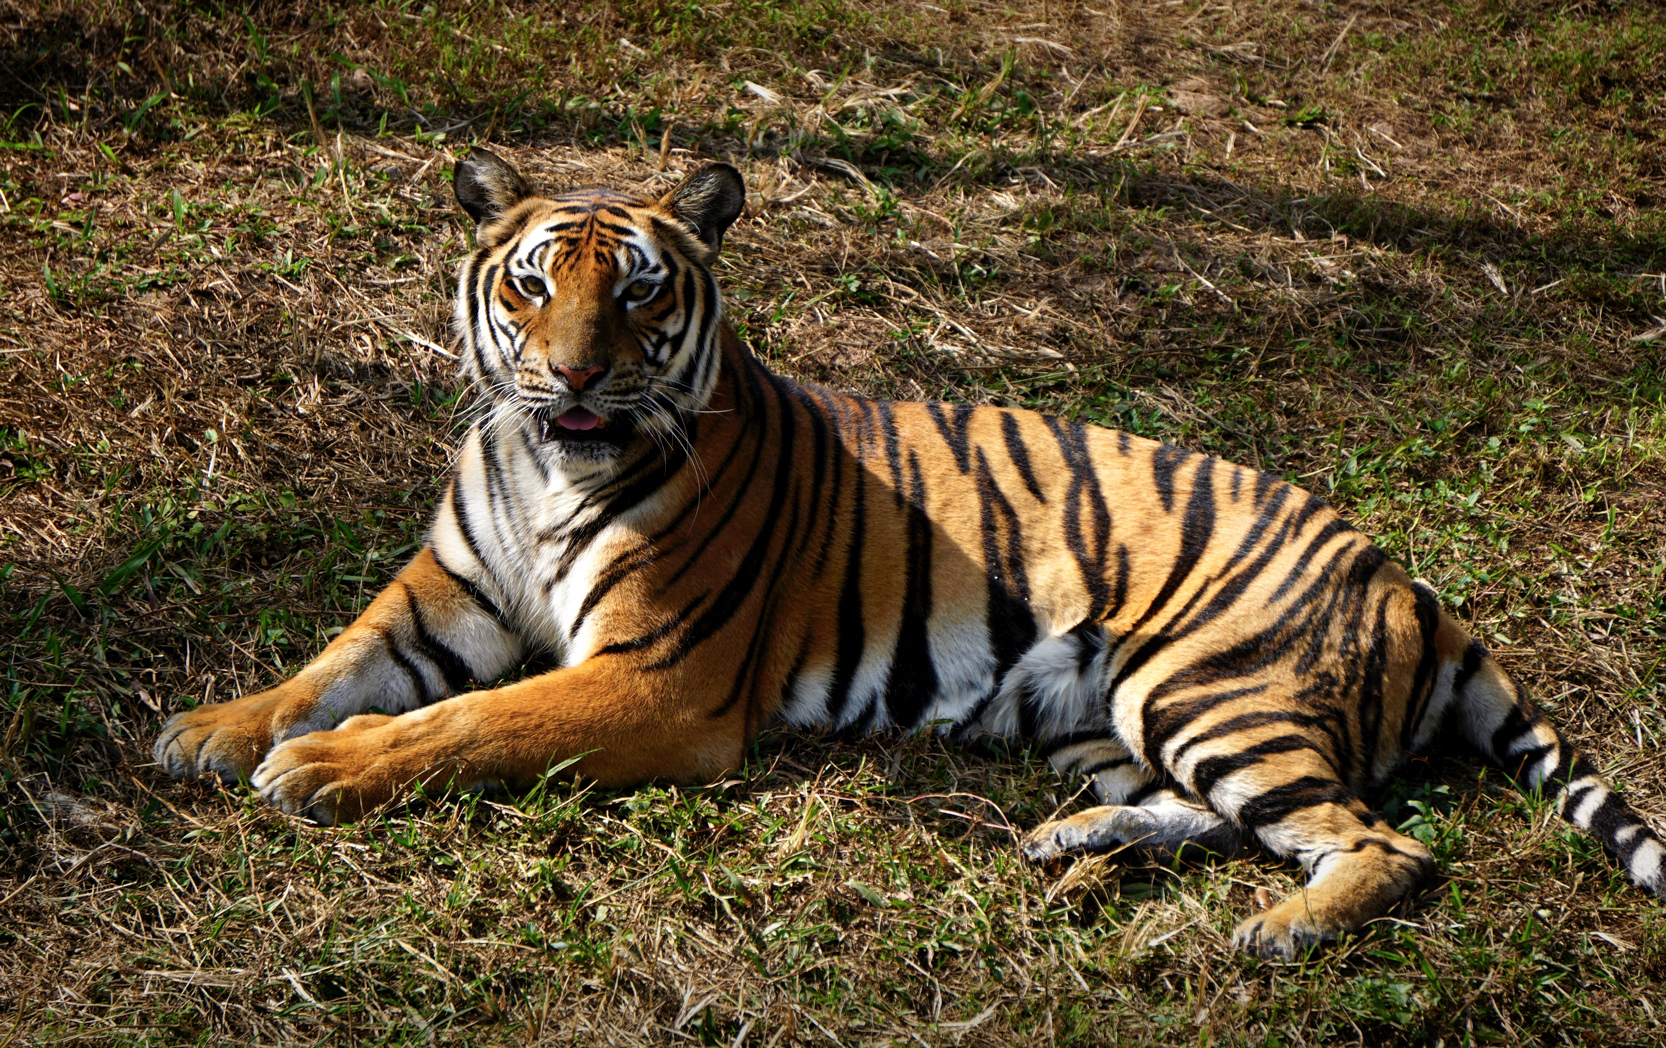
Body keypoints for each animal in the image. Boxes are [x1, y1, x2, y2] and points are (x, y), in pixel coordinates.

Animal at [153, 148, 1666, 959]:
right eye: (530, 285)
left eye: (635, 291)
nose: (574, 376)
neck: (542, 468)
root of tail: (1404, 576)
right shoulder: (445, 596)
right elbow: (330, 664)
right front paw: (213, 729)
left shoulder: (656, 681)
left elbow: (466, 725)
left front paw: (320, 770)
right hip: (1105, 713)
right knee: (1225, 815)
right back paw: (1075, 843)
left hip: (1206, 684)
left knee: (1378, 843)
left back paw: (1276, 931)